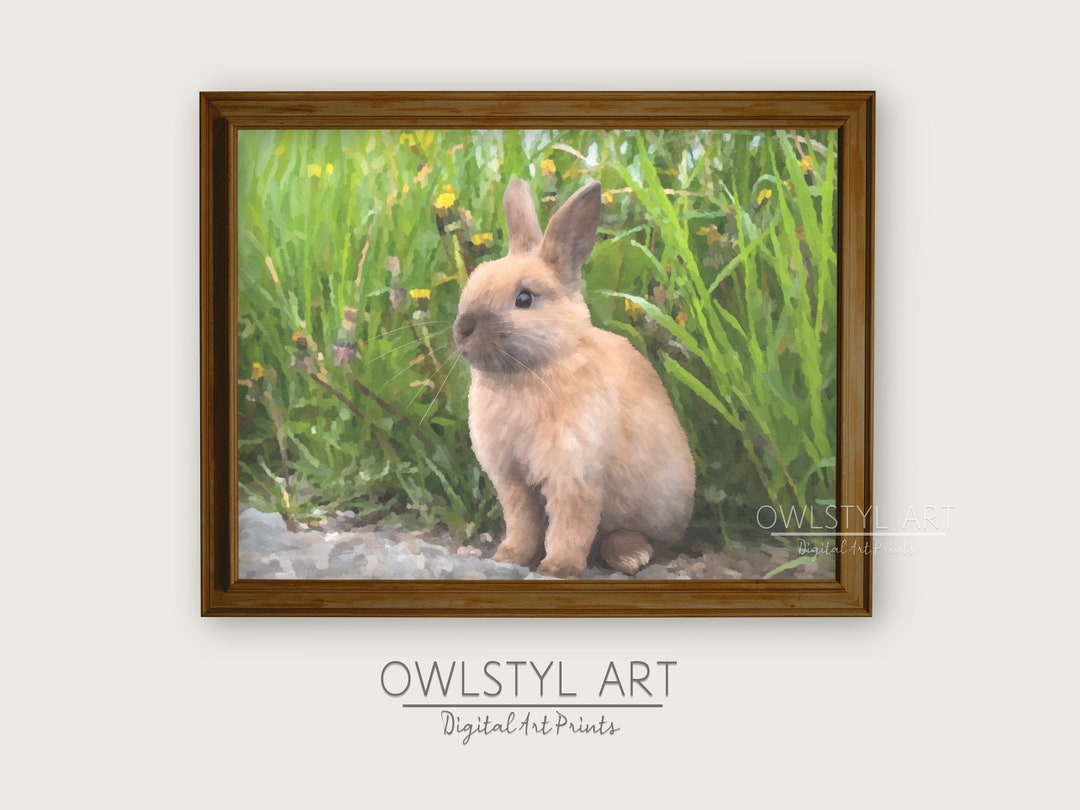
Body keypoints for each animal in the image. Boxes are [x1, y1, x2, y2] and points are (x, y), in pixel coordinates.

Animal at [452, 178, 695, 579]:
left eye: (524, 298)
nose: (463, 329)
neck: (533, 369)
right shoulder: (512, 478)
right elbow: (522, 521)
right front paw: (508, 558)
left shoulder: (575, 474)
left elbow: (571, 525)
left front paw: (557, 568)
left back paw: (631, 555)